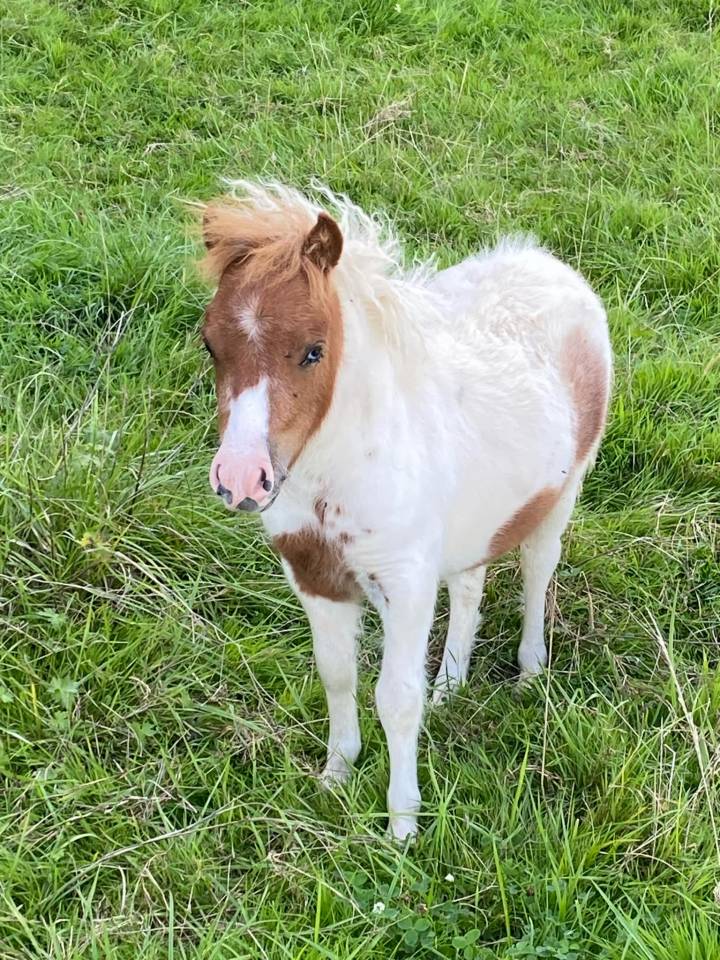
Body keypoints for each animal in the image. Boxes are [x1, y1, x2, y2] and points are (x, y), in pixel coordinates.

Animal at [197, 181, 612, 840]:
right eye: (209, 343)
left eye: (313, 351)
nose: (240, 481)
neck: (336, 471)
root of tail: (548, 264)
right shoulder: (314, 577)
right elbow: (337, 675)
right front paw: (336, 775)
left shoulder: (405, 585)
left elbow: (396, 697)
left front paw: (402, 825)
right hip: (474, 520)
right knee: (469, 585)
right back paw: (451, 684)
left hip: (562, 494)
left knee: (536, 571)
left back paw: (528, 674)